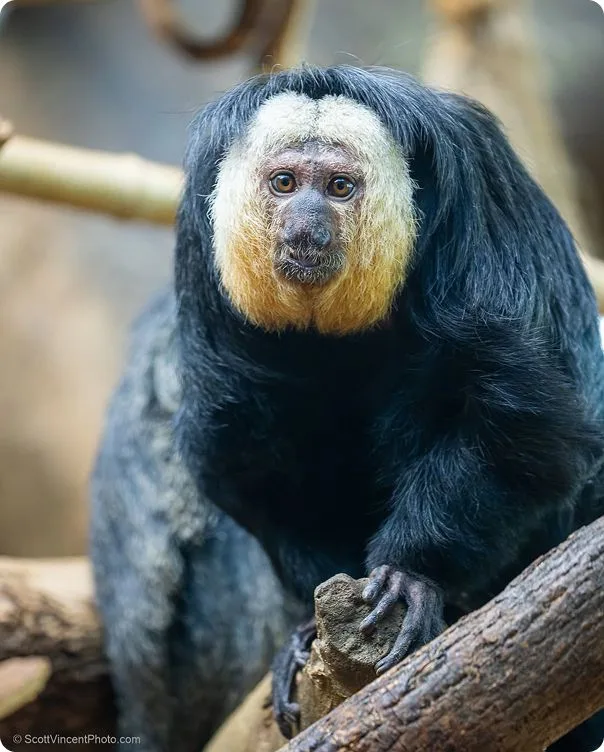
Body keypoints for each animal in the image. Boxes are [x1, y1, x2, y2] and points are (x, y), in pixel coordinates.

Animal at [91, 65, 604, 752]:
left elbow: (519, 420)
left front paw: (410, 575)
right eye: (284, 183)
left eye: (339, 187)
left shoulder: (475, 190)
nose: (306, 223)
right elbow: (241, 440)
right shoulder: (201, 237)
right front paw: (311, 625)